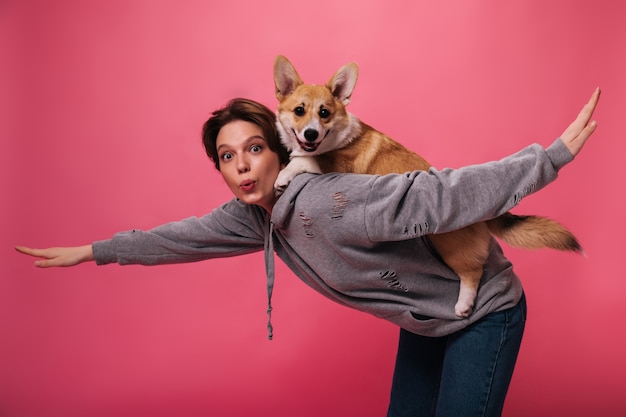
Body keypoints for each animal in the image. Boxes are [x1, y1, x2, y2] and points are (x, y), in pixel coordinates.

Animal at [272, 54, 580, 316]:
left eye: (324, 113)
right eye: (299, 110)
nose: (310, 134)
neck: (336, 137)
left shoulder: (336, 165)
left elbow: (307, 160)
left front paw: (284, 175)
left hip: (447, 243)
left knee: (472, 272)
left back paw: (463, 305)